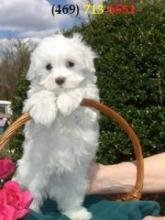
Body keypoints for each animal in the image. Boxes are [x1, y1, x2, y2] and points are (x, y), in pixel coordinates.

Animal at [15, 34, 99, 220]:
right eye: (48, 67)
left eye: (70, 64)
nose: (60, 80)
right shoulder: (30, 117)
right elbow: (42, 94)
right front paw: (45, 111)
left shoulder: (90, 108)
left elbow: (78, 92)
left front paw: (66, 101)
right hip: (32, 175)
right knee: (32, 195)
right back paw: (32, 211)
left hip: (73, 179)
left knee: (71, 197)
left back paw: (77, 213)